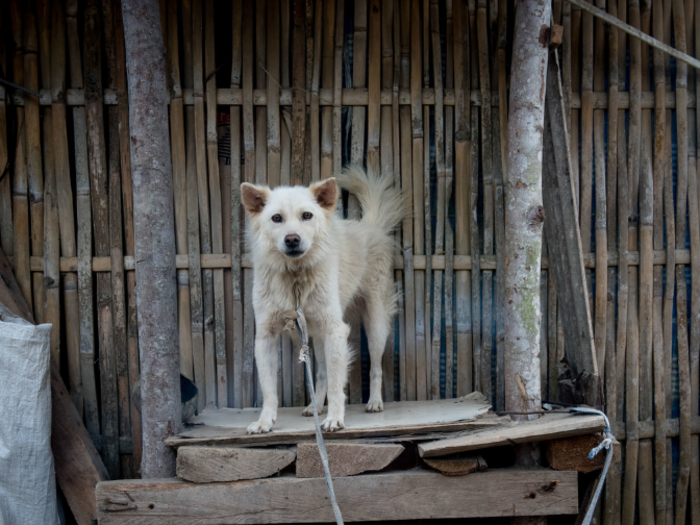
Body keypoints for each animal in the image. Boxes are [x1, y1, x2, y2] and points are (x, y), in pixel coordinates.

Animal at [242, 166, 402, 432]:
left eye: (307, 215)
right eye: (276, 218)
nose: (292, 239)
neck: (295, 276)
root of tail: (370, 227)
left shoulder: (335, 331)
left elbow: (338, 385)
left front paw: (335, 418)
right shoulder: (265, 337)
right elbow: (269, 389)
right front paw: (265, 421)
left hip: (375, 325)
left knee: (375, 367)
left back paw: (375, 402)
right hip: (315, 336)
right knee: (322, 373)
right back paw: (314, 407)